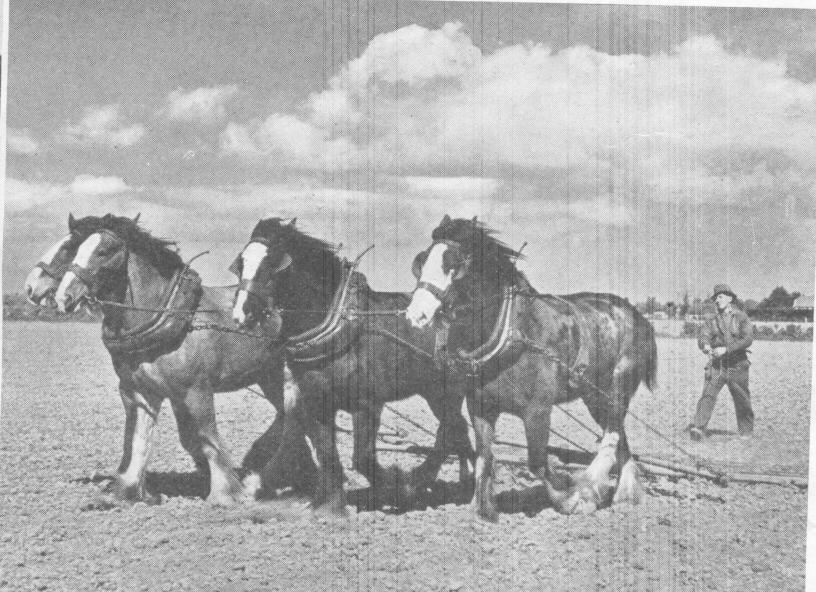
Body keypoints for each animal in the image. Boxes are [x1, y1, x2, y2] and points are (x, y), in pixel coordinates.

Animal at [50, 214, 316, 505]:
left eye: (103, 251)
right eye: (75, 249)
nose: (63, 297)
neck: (165, 316)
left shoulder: (195, 391)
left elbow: (207, 438)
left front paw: (225, 492)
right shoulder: (142, 392)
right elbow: (140, 440)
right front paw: (128, 489)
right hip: (269, 377)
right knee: (288, 417)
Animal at [231, 217, 475, 516]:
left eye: (273, 264)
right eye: (241, 263)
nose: (241, 313)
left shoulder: (367, 405)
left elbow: (362, 457)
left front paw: (399, 488)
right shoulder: (317, 402)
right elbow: (326, 453)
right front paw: (329, 505)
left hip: (446, 392)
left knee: (450, 432)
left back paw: (429, 482)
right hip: (433, 392)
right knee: (458, 431)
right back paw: (465, 482)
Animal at [405, 215, 657, 521]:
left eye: (453, 263)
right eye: (421, 261)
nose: (415, 314)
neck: (513, 333)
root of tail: (639, 316)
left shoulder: (538, 411)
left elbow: (537, 462)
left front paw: (570, 497)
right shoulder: (481, 408)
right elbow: (485, 455)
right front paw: (483, 509)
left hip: (617, 388)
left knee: (611, 436)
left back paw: (591, 486)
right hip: (594, 397)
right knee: (620, 435)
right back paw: (627, 494)